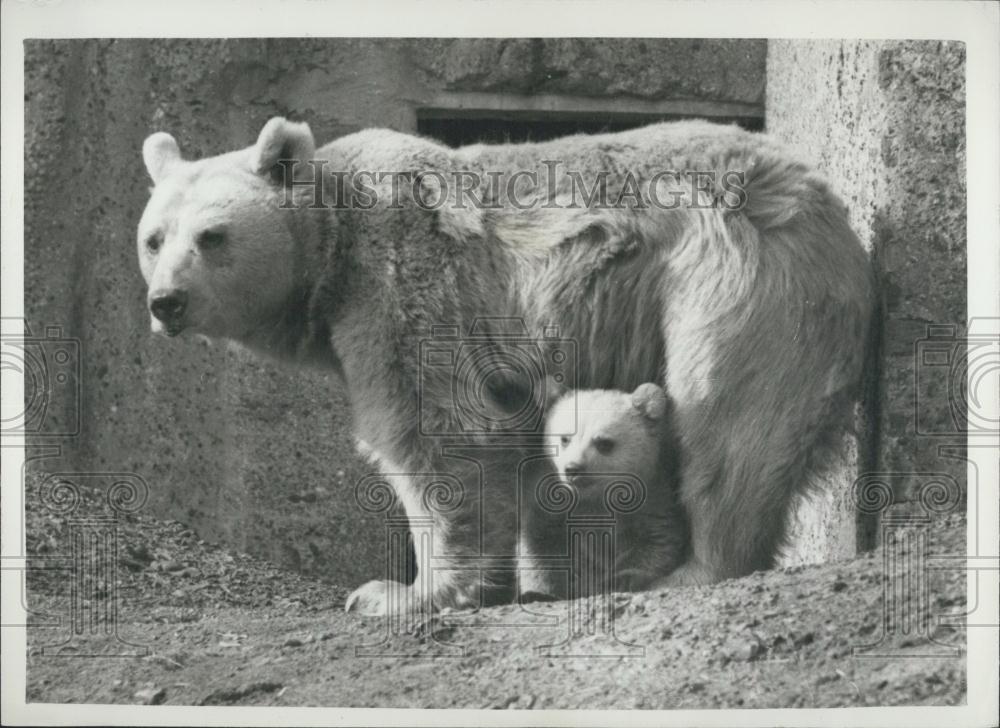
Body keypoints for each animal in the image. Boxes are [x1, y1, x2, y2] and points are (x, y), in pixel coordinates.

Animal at [137, 118, 872, 616]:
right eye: (153, 238)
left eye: (213, 236)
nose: (165, 302)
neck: (335, 246)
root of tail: (824, 205)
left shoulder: (403, 282)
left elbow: (437, 432)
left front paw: (399, 592)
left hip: (733, 284)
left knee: (725, 424)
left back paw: (689, 571)